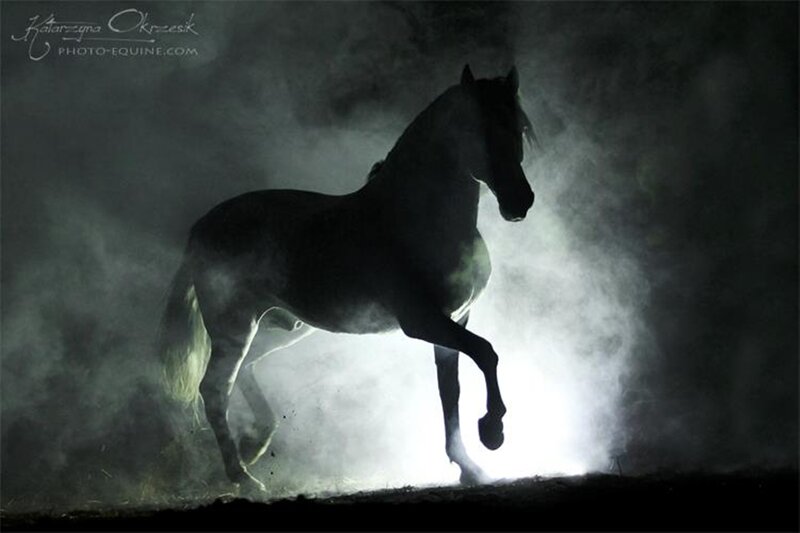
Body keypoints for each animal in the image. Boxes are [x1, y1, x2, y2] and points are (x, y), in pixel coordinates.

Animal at [158, 64, 536, 493]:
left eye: (519, 128)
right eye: (476, 127)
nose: (520, 202)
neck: (418, 218)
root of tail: (202, 227)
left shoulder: (454, 321)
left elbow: (450, 392)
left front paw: (470, 467)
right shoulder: (422, 321)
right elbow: (487, 353)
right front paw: (492, 430)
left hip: (280, 328)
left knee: (244, 370)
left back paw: (255, 442)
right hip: (234, 325)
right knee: (215, 388)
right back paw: (244, 477)